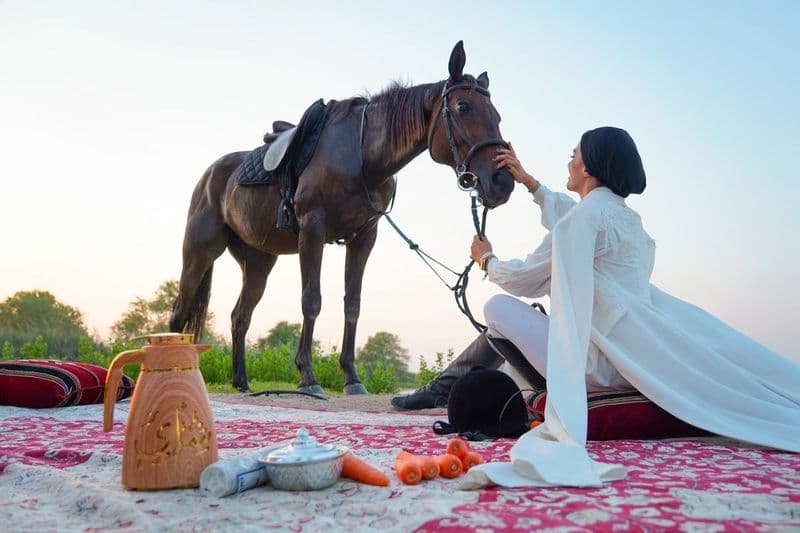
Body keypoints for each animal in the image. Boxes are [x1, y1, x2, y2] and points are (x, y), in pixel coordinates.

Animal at [169, 41, 514, 394]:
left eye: (496, 115)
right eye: (463, 106)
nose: (502, 182)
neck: (361, 155)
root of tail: (211, 174)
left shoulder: (364, 238)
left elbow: (353, 304)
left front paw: (352, 377)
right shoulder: (312, 231)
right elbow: (311, 300)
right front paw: (307, 376)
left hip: (258, 263)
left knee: (240, 317)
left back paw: (241, 381)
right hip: (199, 251)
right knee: (180, 311)